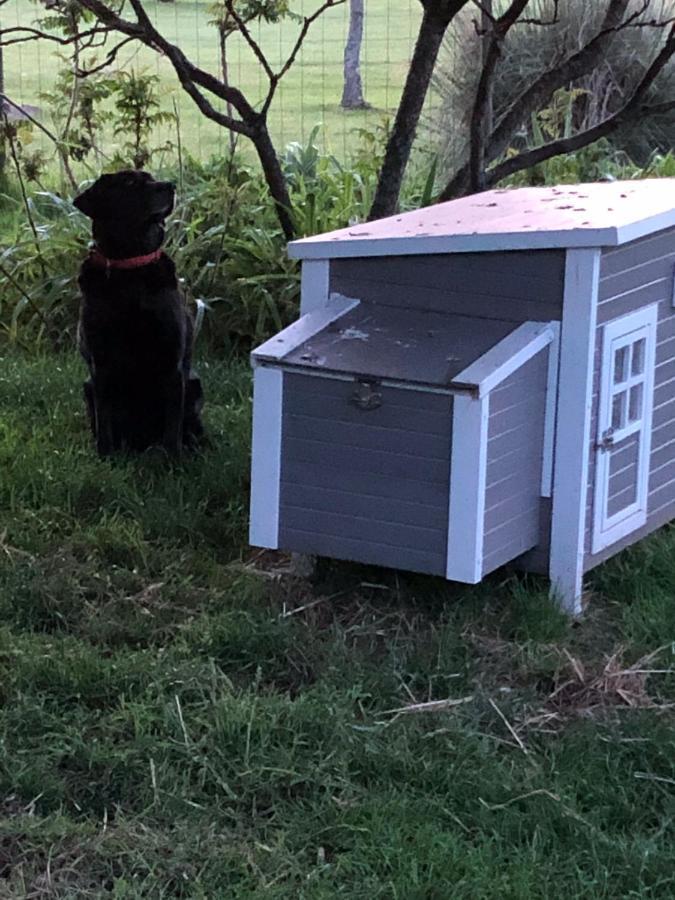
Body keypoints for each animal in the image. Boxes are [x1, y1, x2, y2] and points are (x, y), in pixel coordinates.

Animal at [74, 168, 205, 454]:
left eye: (152, 177)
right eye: (131, 182)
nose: (170, 186)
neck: (130, 266)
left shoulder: (172, 361)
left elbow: (172, 427)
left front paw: (172, 458)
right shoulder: (100, 363)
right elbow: (104, 422)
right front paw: (105, 456)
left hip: (194, 385)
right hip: (87, 386)